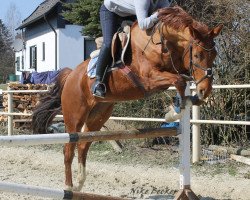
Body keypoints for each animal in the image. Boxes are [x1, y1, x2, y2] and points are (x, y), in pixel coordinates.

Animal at [32, 5, 222, 191]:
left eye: (214, 55)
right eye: (197, 55)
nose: (205, 90)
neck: (161, 41)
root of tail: (71, 76)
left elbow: (181, 81)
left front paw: (183, 104)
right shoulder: (148, 80)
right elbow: (179, 80)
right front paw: (174, 112)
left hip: (99, 115)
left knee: (83, 144)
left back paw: (80, 182)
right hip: (75, 115)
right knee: (68, 148)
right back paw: (69, 186)